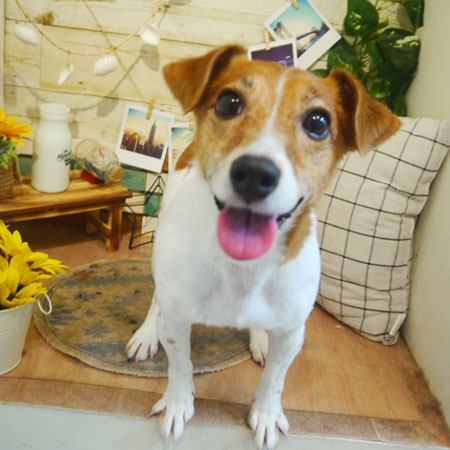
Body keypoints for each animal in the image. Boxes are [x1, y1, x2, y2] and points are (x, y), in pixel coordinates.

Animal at [126, 45, 400, 449]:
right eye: (228, 102)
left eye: (318, 122)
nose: (255, 173)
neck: (242, 271)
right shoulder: (177, 322)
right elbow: (180, 366)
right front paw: (178, 403)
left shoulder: (292, 333)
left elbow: (274, 380)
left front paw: (267, 414)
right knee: (156, 300)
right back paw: (146, 334)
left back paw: (258, 339)